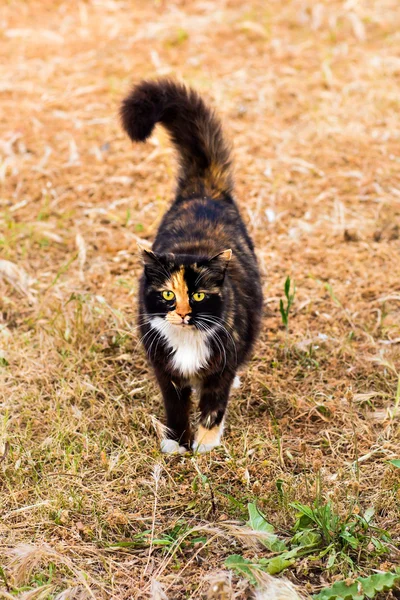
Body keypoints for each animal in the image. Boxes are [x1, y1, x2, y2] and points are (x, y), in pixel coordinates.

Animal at [119, 81, 262, 454]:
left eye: (198, 296)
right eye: (169, 295)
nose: (183, 313)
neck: (186, 342)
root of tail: (204, 191)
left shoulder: (220, 367)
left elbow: (213, 405)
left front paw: (205, 445)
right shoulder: (165, 367)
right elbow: (175, 405)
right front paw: (176, 443)